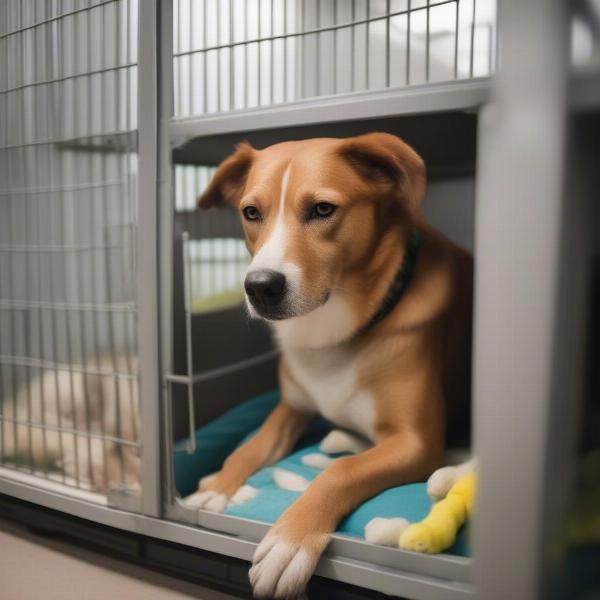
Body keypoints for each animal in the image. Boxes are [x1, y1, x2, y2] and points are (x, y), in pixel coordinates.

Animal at [192, 134, 474, 596]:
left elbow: (342, 473)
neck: (333, 333)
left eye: (322, 209)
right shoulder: (291, 408)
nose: (260, 287)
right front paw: (217, 486)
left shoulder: (416, 441)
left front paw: (289, 540)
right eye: (251, 213)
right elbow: (250, 447)